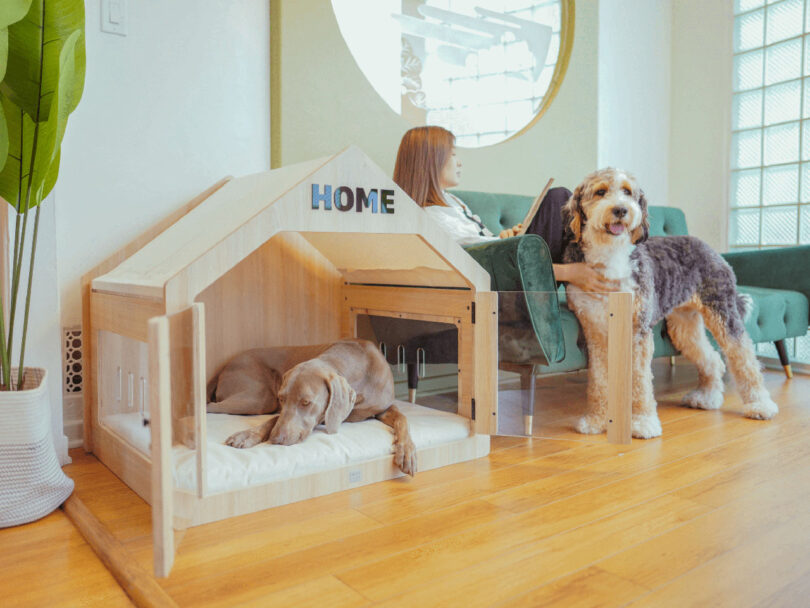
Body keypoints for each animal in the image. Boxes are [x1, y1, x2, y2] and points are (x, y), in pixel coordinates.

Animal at [207, 338, 416, 476]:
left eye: (306, 402)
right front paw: (247, 435)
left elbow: (403, 418)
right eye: (282, 399)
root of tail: (225, 366)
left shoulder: (383, 407)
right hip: (259, 399)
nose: (276, 439)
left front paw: (406, 451)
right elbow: (274, 419)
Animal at [560, 169, 776, 440]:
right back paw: (707, 398)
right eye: (600, 192)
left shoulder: (638, 330)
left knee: (744, 356)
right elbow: (599, 378)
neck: (609, 255)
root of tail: (710, 248)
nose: (621, 210)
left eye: (627, 191)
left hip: (723, 312)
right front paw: (596, 420)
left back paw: (760, 405)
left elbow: (640, 380)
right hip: (684, 326)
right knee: (712, 358)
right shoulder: (595, 330)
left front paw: (643, 423)